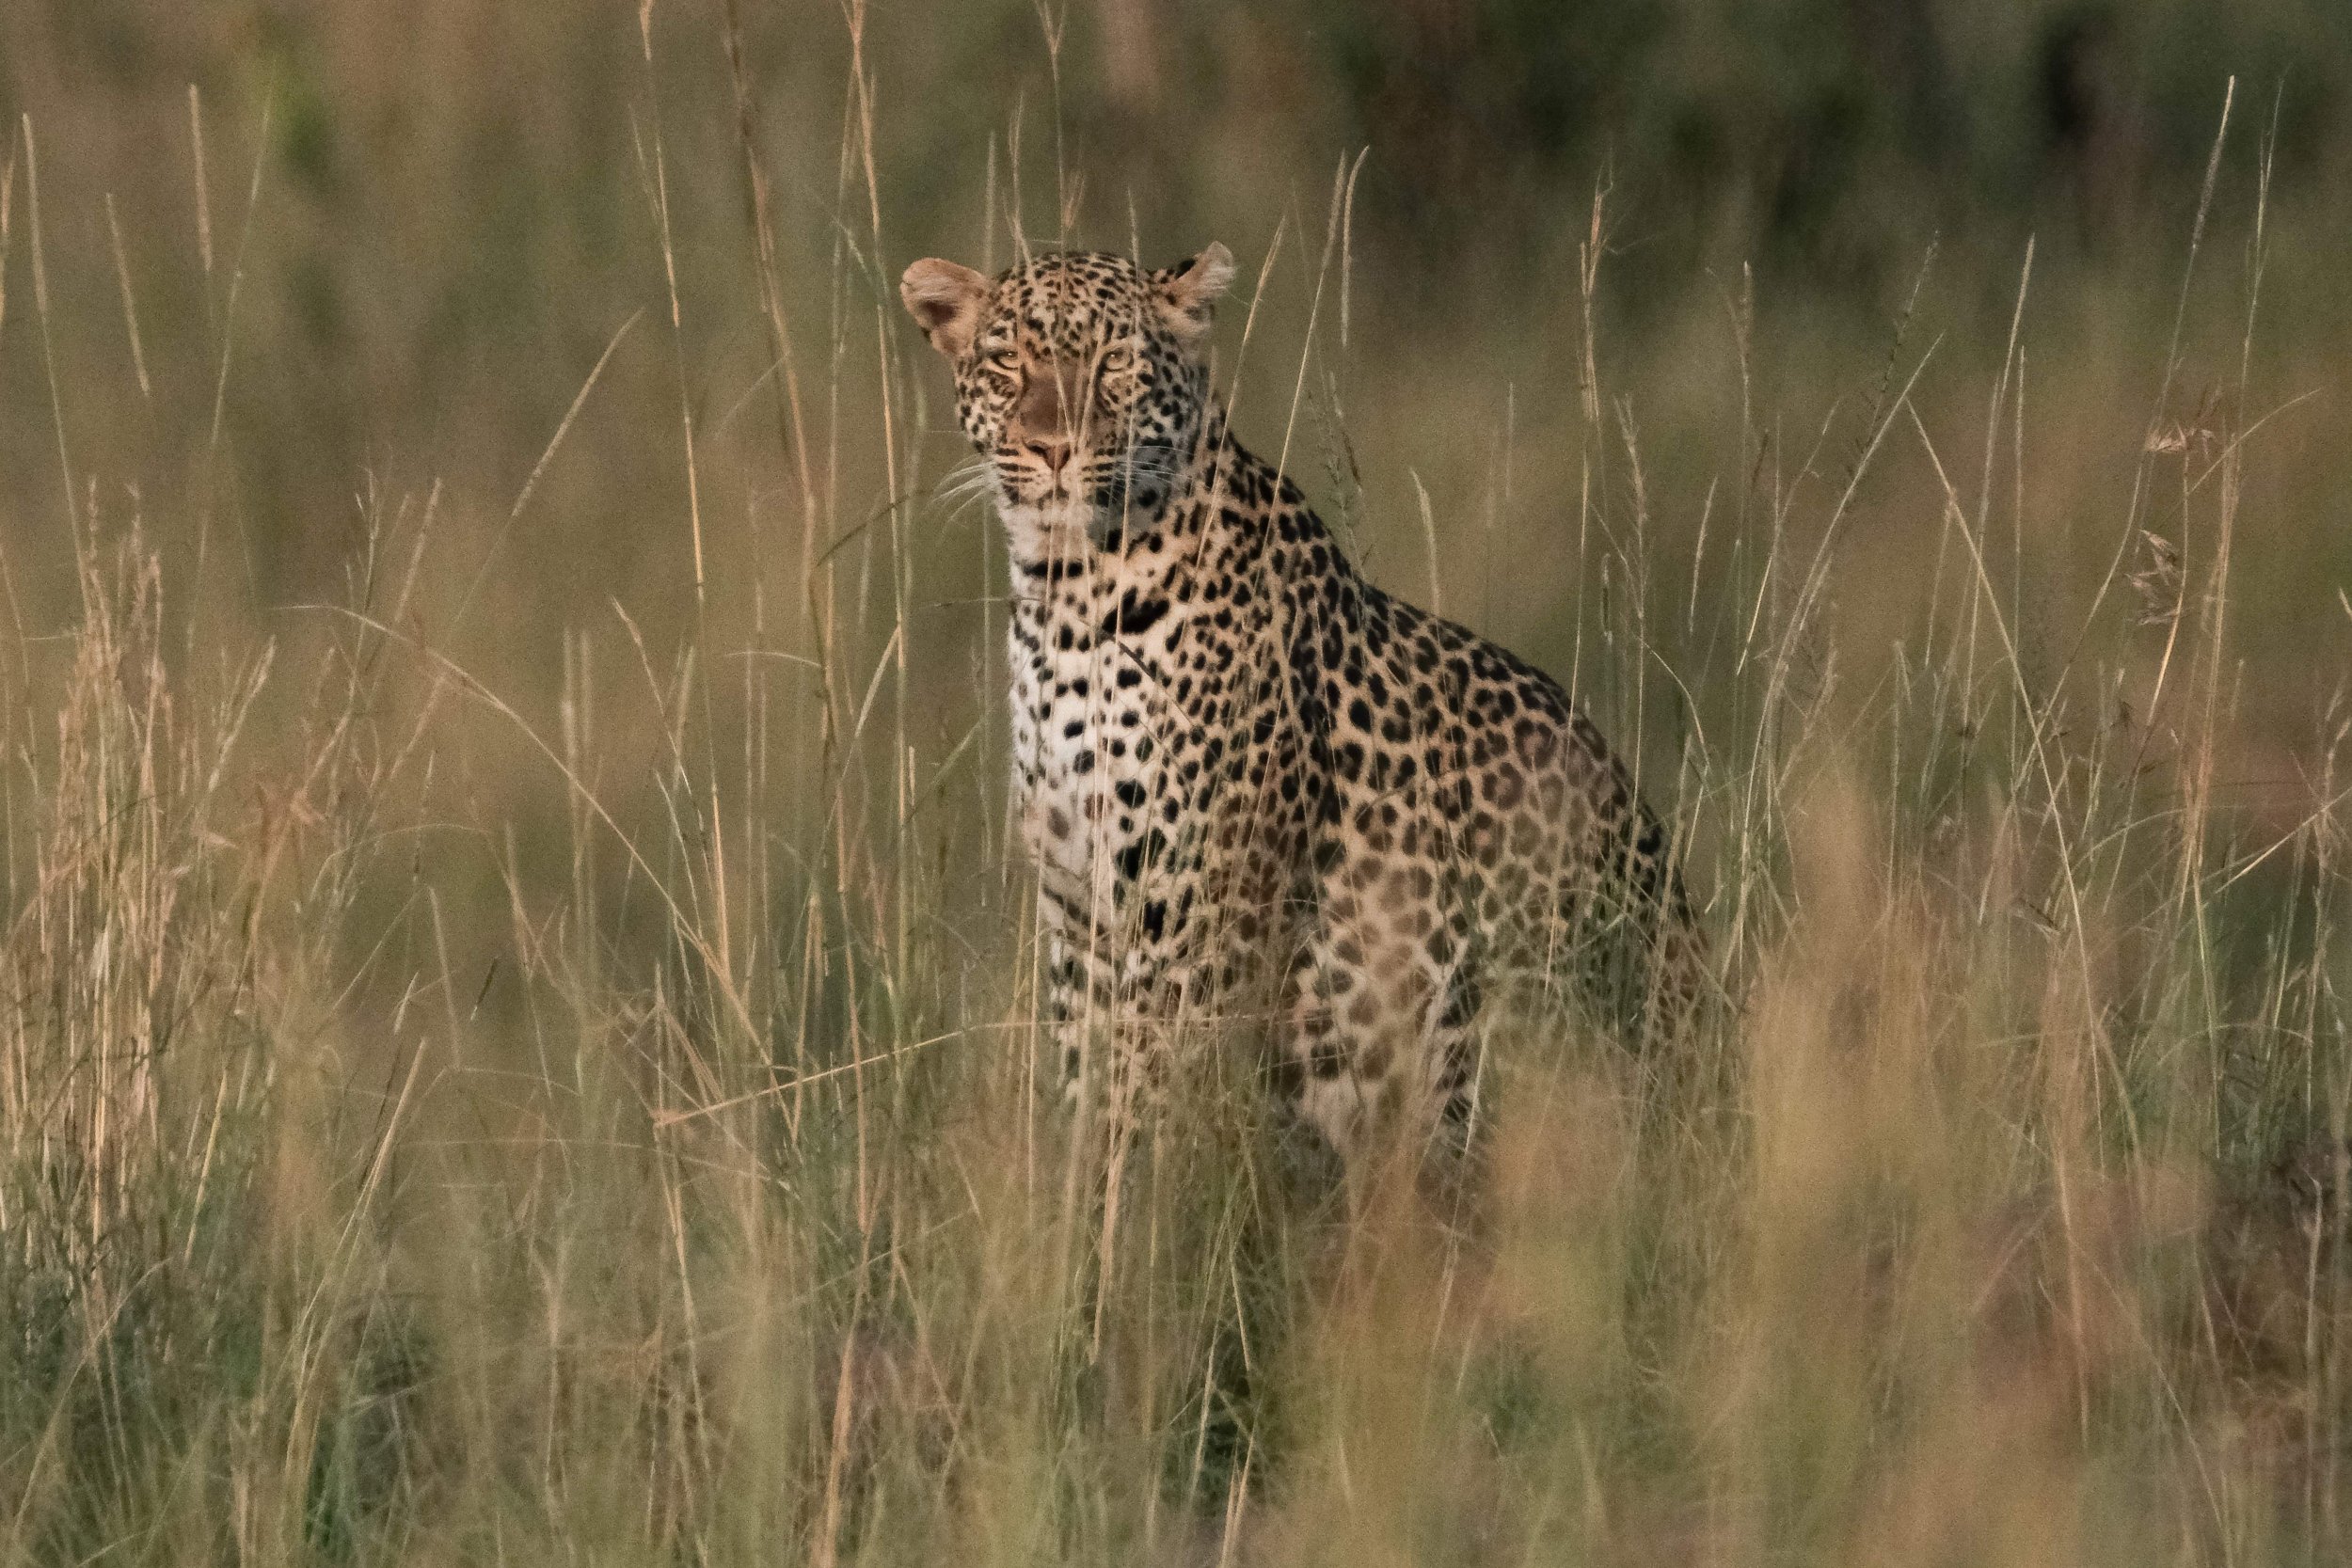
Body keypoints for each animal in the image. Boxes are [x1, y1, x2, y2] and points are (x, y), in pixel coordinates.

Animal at [903, 239, 1712, 1184]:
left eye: (1116, 365)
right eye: (1008, 365)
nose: (1053, 447)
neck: (1066, 597)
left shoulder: (1199, 906)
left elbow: (1147, 1094)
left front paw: (1131, 1206)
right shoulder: (1077, 909)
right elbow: (1086, 1083)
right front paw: (1075, 1203)